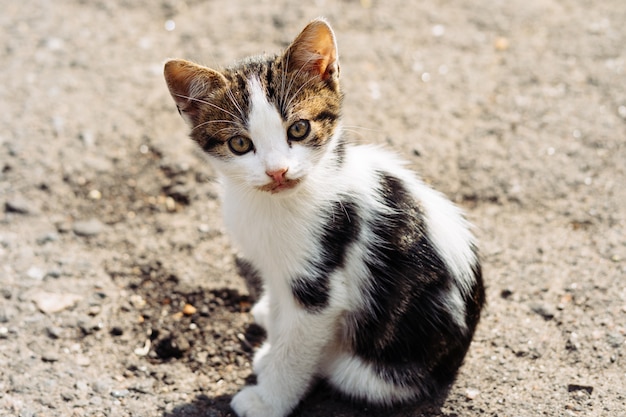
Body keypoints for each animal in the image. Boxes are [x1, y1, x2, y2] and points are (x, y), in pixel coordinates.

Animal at [163, 17, 486, 416]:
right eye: (239, 143)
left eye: (299, 129)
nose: (278, 172)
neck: (274, 204)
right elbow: (281, 305)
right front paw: (271, 328)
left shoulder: (321, 285)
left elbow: (297, 347)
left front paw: (268, 398)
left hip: (368, 369)